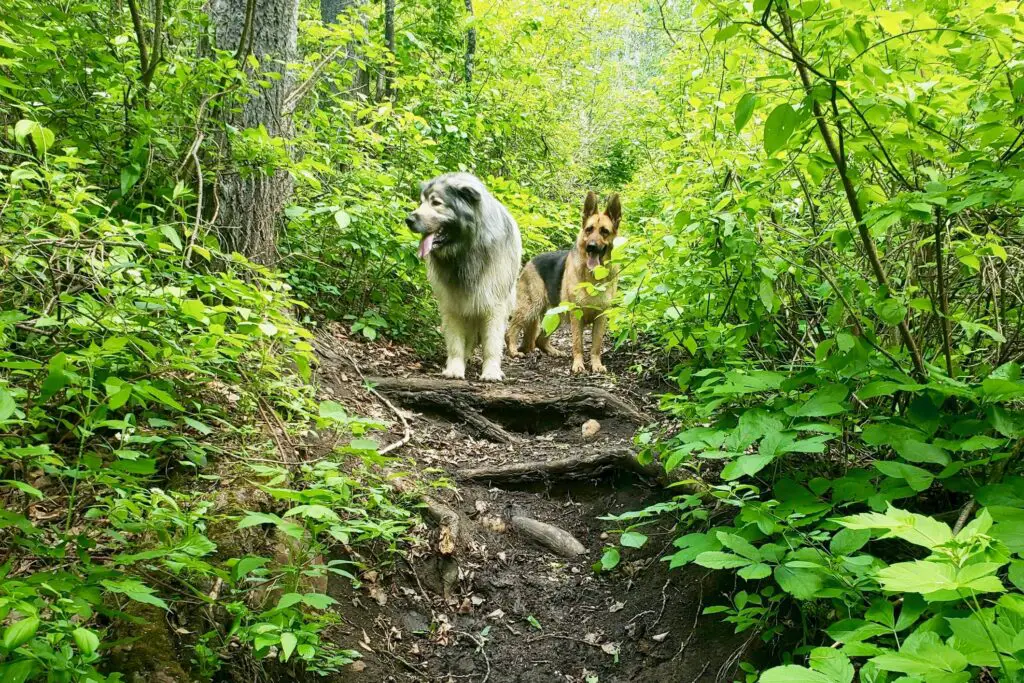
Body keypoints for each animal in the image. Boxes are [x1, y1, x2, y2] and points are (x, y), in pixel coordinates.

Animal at [405, 174, 520, 382]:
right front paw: (455, 369)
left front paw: (491, 372)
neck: (464, 251)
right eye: (421, 202)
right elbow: (456, 344)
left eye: (436, 203)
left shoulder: (494, 305)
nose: (408, 219)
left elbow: (492, 344)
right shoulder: (452, 306)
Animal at [505, 191, 618, 374]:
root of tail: (531, 261)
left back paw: (552, 351)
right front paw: (578, 365)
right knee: (511, 331)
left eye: (604, 231)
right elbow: (578, 344)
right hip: (531, 307)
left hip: (555, 315)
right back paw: (514, 351)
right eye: (589, 229)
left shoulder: (601, 318)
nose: (591, 247)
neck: (592, 278)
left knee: (539, 339)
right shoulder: (576, 316)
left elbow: (596, 346)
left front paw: (596, 365)